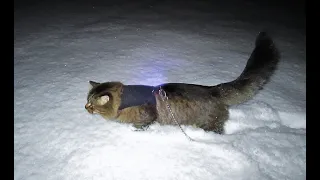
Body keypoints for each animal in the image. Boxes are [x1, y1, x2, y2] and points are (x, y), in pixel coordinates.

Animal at [85, 32, 280, 134]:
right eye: (86, 101)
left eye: (92, 105)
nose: (85, 108)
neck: (124, 99)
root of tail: (213, 90)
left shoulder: (149, 115)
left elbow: (141, 125)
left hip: (210, 124)